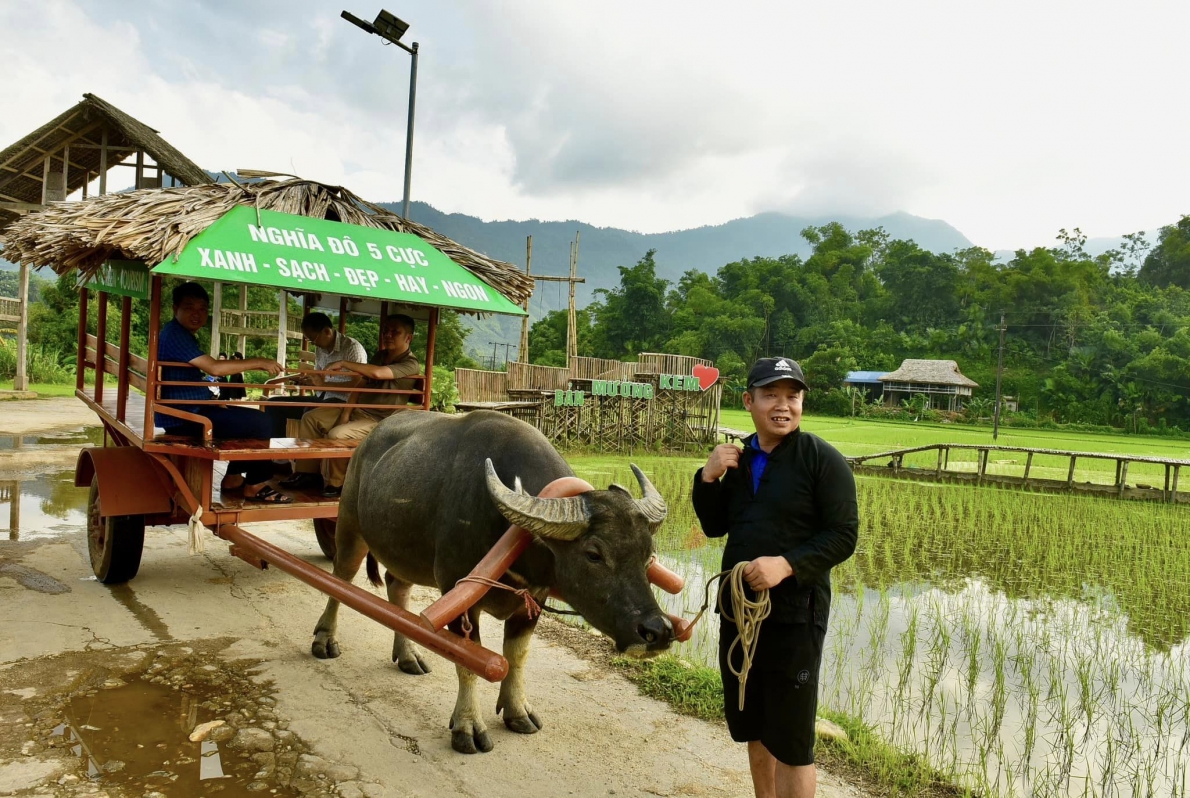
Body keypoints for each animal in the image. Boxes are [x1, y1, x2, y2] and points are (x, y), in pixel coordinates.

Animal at [311, 411, 675, 756]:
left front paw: (517, 712)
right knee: (340, 579)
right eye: (594, 554)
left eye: (648, 555)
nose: (658, 631)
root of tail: (367, 441)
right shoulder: (457, 592)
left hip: (403, 551)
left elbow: (516, 656)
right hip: (349, 525)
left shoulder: (533, 600)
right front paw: (467, 727)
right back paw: (324, 639)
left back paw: (408, 655)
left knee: (396, 587)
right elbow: (469, 662)